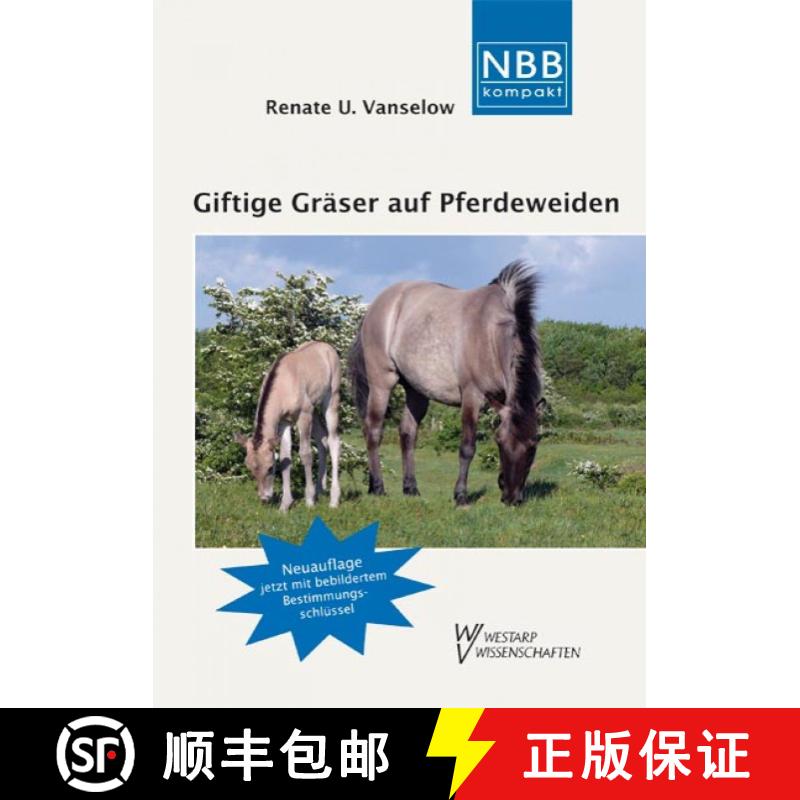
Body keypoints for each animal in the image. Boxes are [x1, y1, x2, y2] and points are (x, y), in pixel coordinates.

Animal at [235, 341, 341, 511]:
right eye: (250, 468)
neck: (284, 385)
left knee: (333, 441)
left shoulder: (303, 415)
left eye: (270, 467)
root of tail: (326, 346)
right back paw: (320, 490)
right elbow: (285, 458)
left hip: (331, 399)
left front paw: (309, 500)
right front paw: (285, 505)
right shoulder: (284, 422)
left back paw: (333, 499)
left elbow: (305, 454)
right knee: (322, 440)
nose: (264, 498)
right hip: (314, 410)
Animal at [349, 261, 545, 506]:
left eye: (533, 446)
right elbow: (467, 447)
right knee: (373, 430)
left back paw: (410, 488)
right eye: (500, 442)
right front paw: (461, 495)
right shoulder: (472, 396)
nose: (511, 498)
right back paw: (377, 487)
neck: (491, 333)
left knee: (408, 433)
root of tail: (375, 307)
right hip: (381, 382)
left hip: (416, 390)